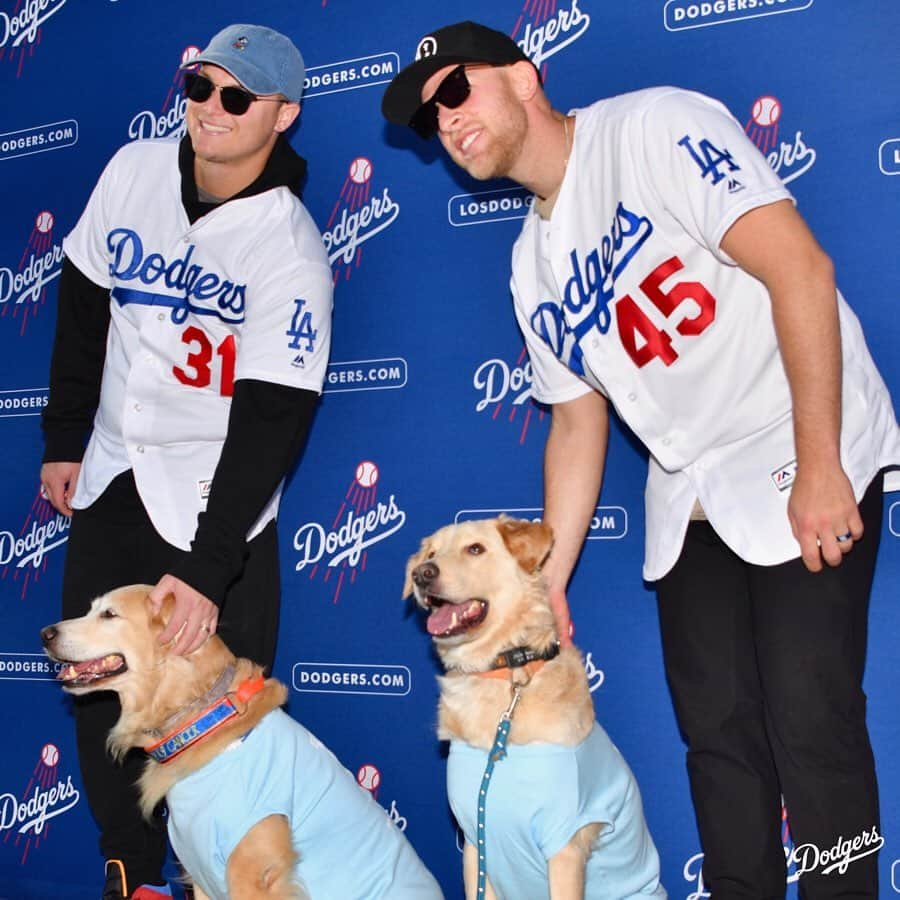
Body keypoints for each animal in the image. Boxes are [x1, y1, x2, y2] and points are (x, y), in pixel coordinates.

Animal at [42, 584, 442, 900]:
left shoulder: (253, 873)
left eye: (109, 614)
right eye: (92, 609)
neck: (203, 716)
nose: (45, 633)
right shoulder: (200, 870)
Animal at [404, 516, 664, 900]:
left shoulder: (565, 846)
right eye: (431, 553)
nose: (422, 573)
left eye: (475, 549)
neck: (502, 671)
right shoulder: (475, 843)